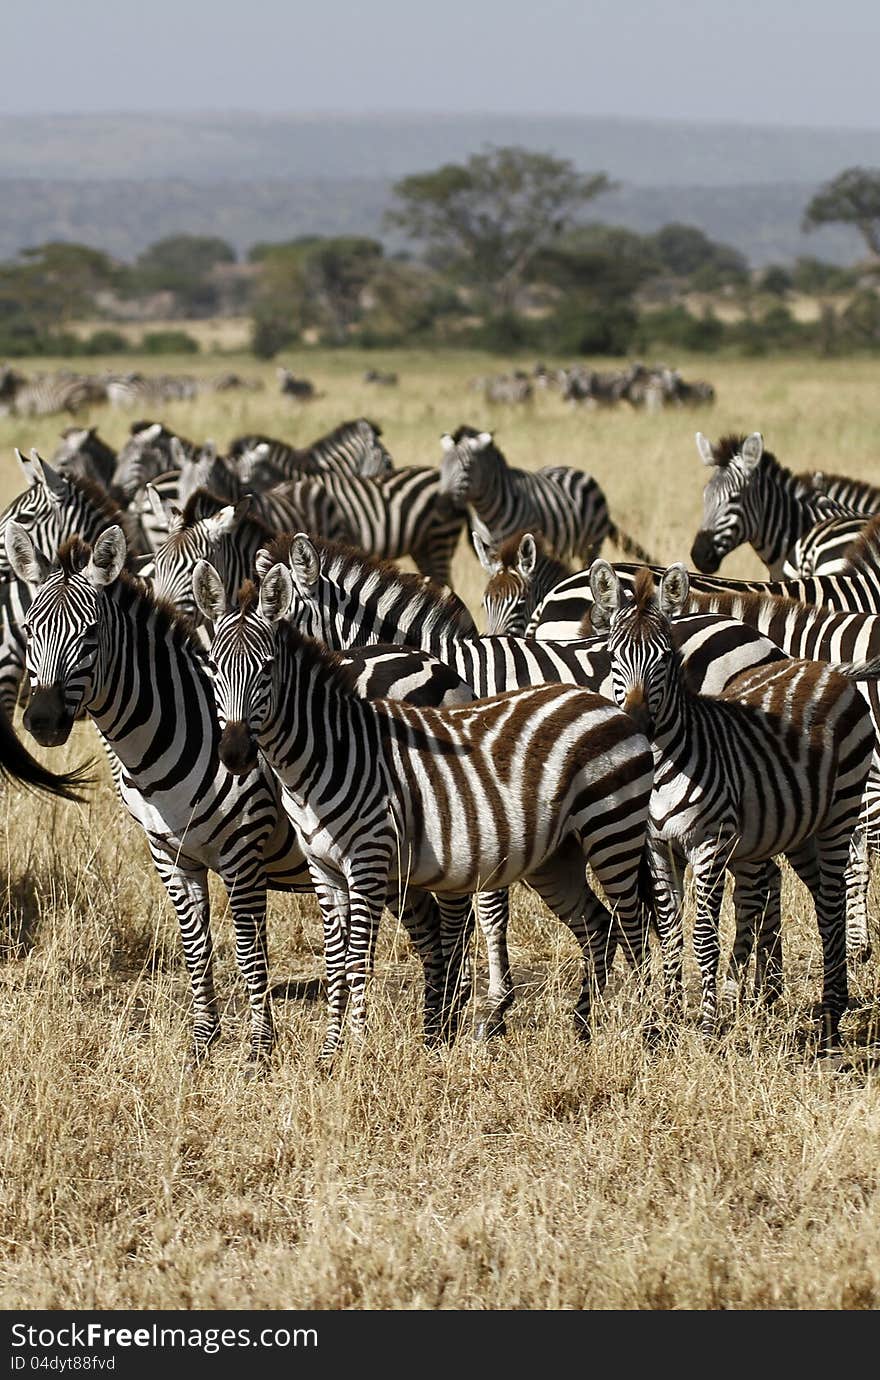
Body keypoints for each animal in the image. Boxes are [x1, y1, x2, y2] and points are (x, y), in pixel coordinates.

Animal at [5, 521, 482, 1059]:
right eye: (29, 630)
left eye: (88, 636)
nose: (42, 721)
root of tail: (432, 661)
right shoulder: (169, 855)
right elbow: (196, 946)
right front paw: (203, 1042)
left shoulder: (242, 851)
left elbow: (250, 950)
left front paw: (259, 1049)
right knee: (428, 929)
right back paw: (434, 1027)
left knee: (455, 922)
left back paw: (448, 1029)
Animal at [195, 560, 659, 1054]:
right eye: (214, 667)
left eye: (265, 670)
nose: (234, 753)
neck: (326, 754)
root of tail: (601, 702)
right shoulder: (324, 869)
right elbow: (334, 961)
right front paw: (330, 1051)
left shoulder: (369, 860)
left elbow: (357, 958)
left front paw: (355, 1049)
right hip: (556, 857)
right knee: (599, 927)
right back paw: (582, 1028)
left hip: (612, 831)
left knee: (633, 926)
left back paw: (651, 1032)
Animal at [438, 425, 656, 565]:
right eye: (442, 467)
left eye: (466, 468)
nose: (442, 507)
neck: (488, 513)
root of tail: (577, 470)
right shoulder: (490, 549)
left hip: (592, 545)